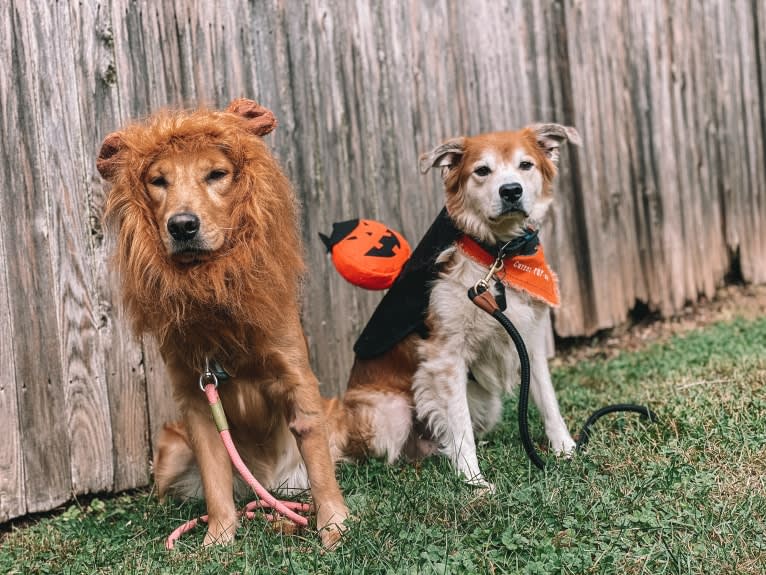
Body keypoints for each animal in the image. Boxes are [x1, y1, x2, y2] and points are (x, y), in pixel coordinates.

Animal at [97, 100, 350, 548]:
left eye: (216, 174)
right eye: (158, 181)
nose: (182, 225)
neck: (212, 288)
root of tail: (265, 485)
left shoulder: (297, 378)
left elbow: (319, 464)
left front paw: (333, 524)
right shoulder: (196, 396)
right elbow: (215, 478)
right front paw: (217, 538)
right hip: (170, 449)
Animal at [330, 126, 584, 490]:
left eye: (526, 165)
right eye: (482, 171)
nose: (511, 191)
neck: (497, 256)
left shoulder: (530, 342)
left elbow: (548, 399)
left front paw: (566, 449)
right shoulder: (446, 355)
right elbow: (459, 423)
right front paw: (473, 480)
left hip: (487, 404)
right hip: (392, 411)